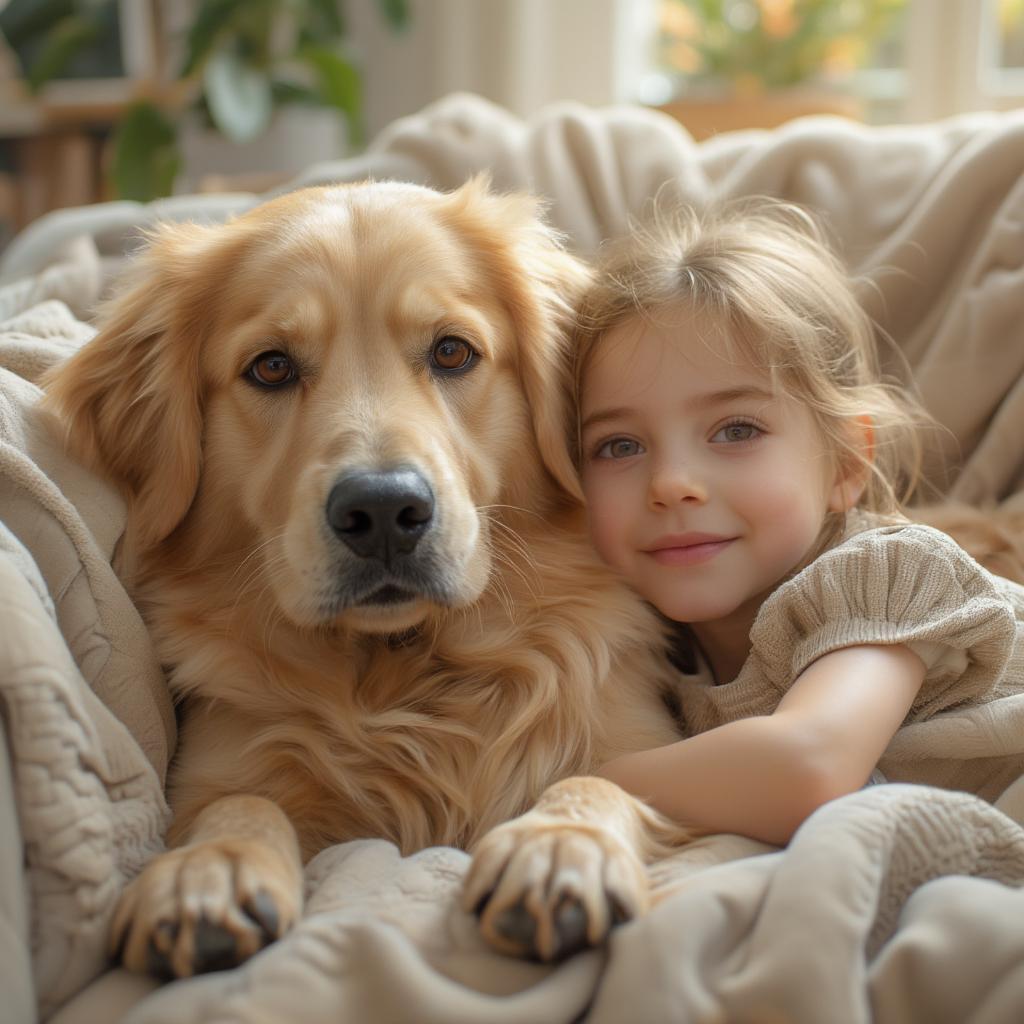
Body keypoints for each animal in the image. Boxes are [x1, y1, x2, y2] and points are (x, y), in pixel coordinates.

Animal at [44, 180, 692, 978]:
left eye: (452, 351)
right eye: (270, 367)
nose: (384, 510)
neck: (405, 673)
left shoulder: (644, 736)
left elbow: (598, 777)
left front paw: (560, 846)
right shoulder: (216, 765)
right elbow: (239, 804)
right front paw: (207, 870)